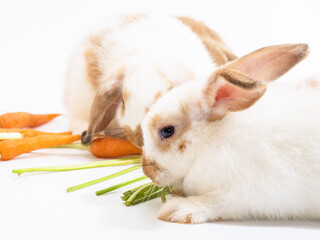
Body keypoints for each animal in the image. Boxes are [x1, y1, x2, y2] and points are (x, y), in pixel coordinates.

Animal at [142, 43, 320, 223]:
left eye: (167, 131)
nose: (147, 171)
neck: (210, 139)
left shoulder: (248, 191)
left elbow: (217, 202)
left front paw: (177, 209)